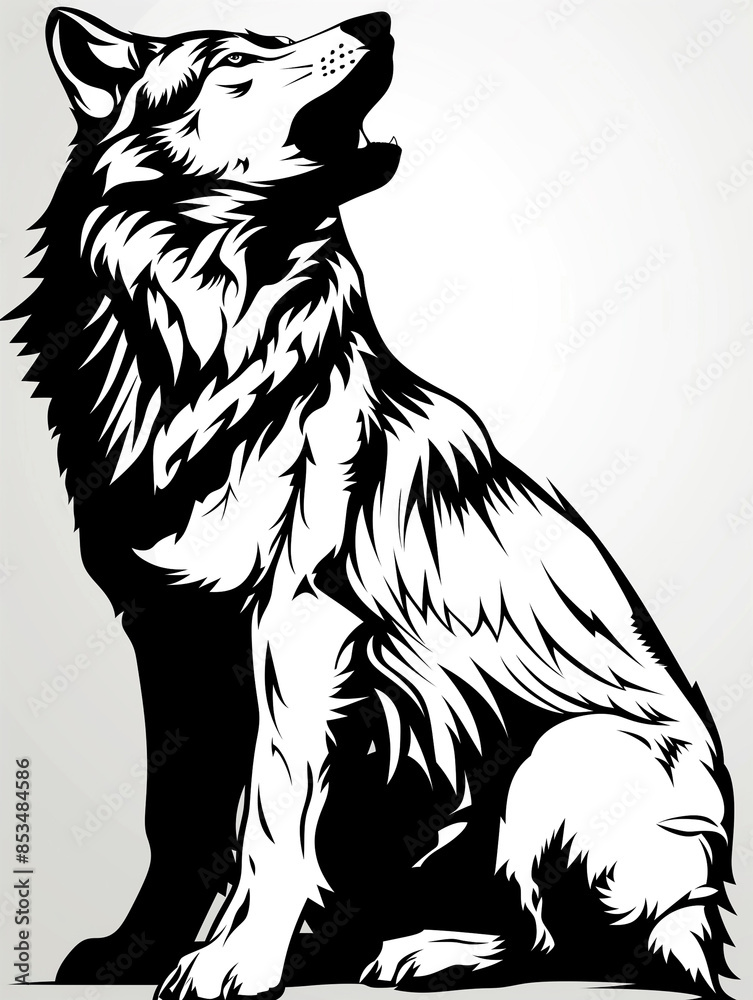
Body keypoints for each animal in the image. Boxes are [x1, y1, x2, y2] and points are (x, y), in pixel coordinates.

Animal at [9, 7, 735, 999]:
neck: (205, 361)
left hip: (556, 761)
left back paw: (431, 952)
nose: (378, 19)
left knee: (563, 938)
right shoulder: (165, 633)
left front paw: (235, 960)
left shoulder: (300, 622)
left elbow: (269, 817)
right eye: (234, 58)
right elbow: (176, 820)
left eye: (264, 39)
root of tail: (708, 913)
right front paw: (136, 952)